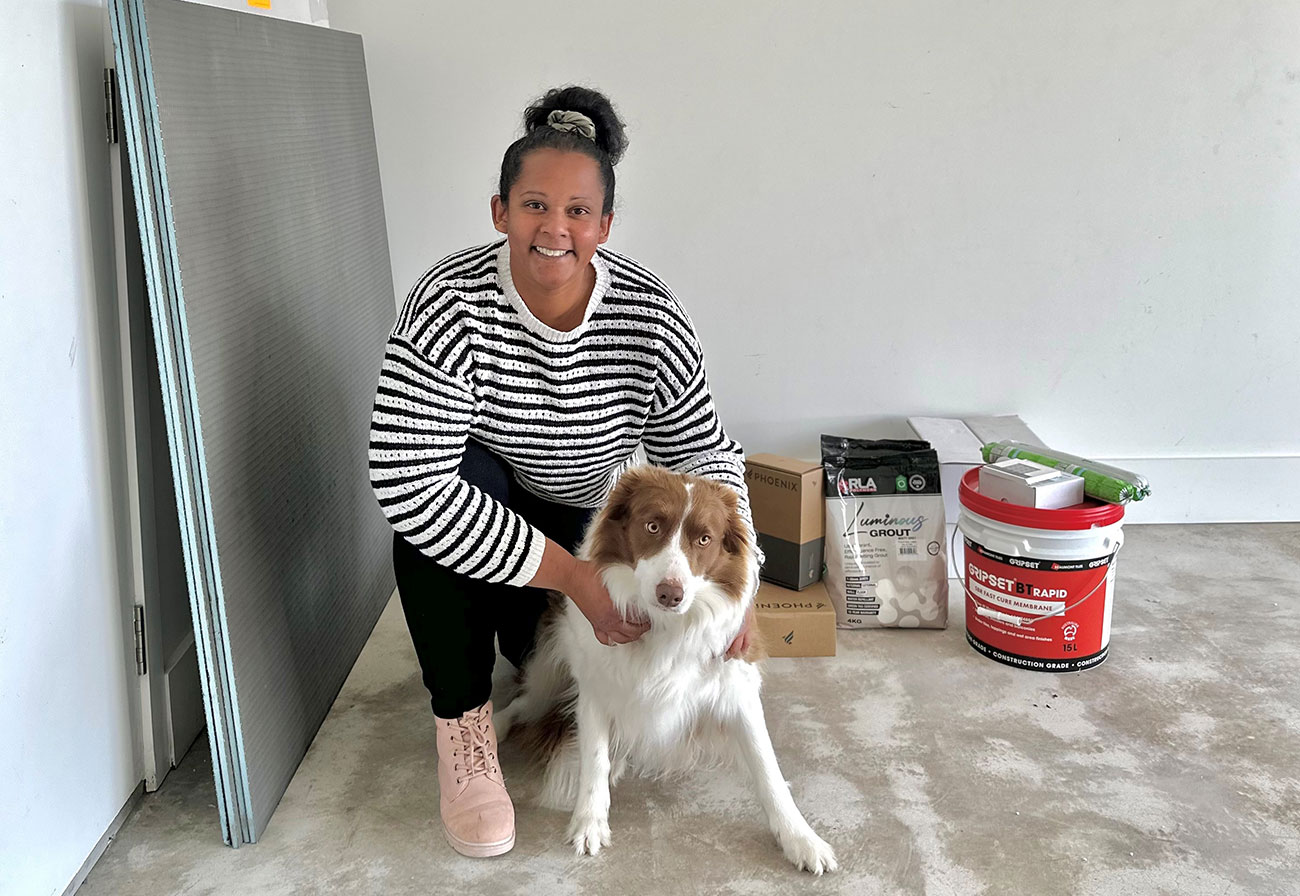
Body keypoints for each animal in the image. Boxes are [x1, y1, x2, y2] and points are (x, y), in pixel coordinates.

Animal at [491, 468, 837, 873]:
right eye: (652, 526)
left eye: (705, 539)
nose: (670, 594)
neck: (665, 628)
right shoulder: (595, 685)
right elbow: (594, 757)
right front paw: (589, 821)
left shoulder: (737, 686)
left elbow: (768, 769)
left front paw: (801, 839)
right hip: (549, 672)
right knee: (523, 702)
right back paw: (496, 724)